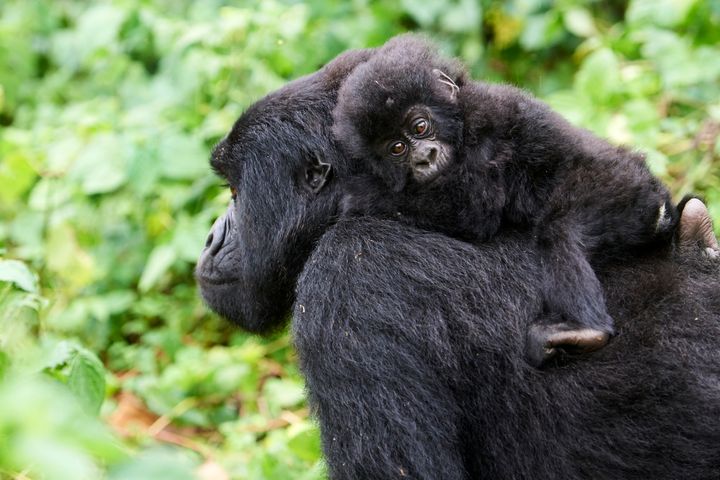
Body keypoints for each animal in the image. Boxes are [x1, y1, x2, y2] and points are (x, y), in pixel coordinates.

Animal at [332, 35, 676, 366]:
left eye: (420, 126)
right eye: (397, 148)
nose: (423, 157)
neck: (460, 116)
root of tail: (662, 208)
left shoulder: (485, 126)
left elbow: (474, 211)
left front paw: (361, 194)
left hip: (624, 188)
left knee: (559, 233)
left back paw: (585, 329)